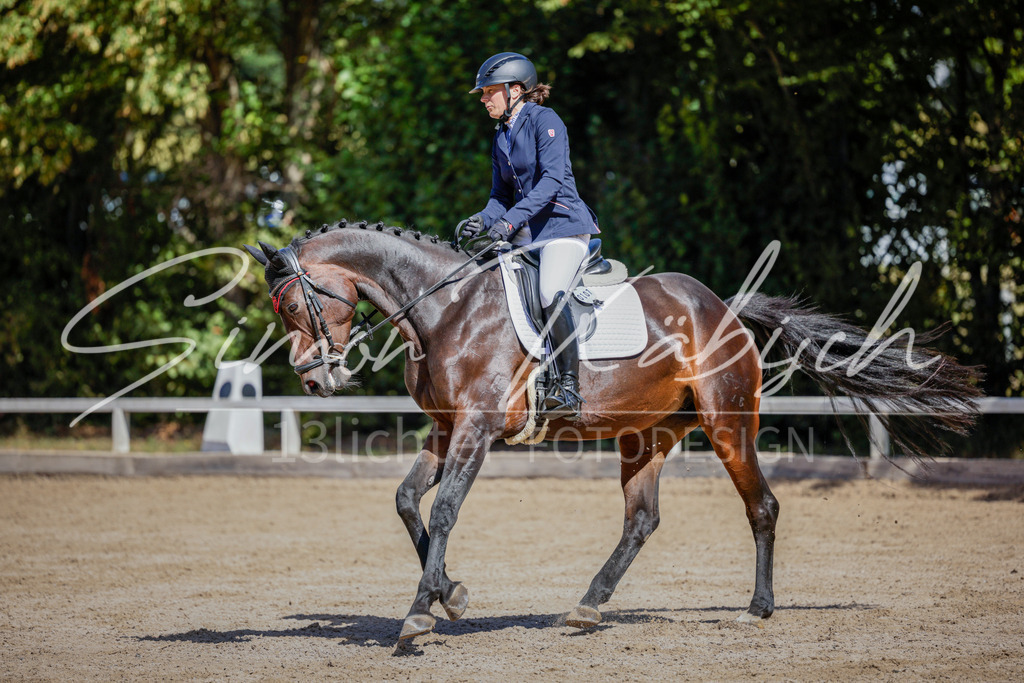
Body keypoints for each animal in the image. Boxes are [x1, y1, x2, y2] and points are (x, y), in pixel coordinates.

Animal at [244, 219, 980, 641]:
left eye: (294, 303)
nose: (314, 381)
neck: (444, 308)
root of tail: (722, 305)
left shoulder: (476, 429)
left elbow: (446, 506)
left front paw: (421, 613)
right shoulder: (444, 430)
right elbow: (406, 500)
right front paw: (450, 594)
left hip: (727, 425)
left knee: (762, 506)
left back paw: (758, 607)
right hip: (644, 435)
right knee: (642, 518)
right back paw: (589, 605)